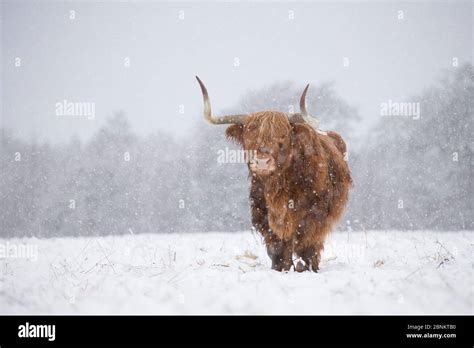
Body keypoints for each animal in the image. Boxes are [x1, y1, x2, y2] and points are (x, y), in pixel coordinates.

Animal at [195, 77, 352, 272]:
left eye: (283, 135)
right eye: (249, 135)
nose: (262, 161)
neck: (278, 188)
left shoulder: (315, 214)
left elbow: (305, 243)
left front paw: (304, 267)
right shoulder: (262, 214)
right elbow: (278, 246)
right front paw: (280, 268)